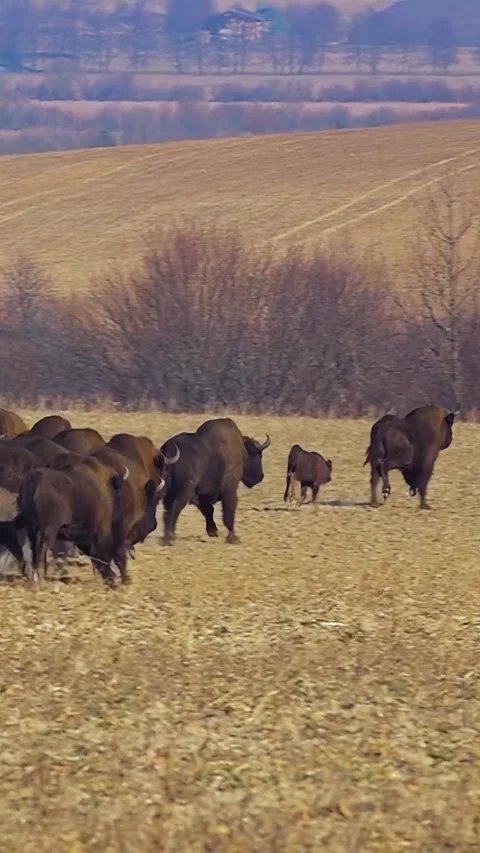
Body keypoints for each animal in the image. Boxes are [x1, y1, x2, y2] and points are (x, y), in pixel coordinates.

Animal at [161, 417, 270, 545]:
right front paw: (233, 538)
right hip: (184, 491)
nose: (260, 476)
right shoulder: (229, 489)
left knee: (167, 510)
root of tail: (169, 451)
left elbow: (208, 510)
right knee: (175, 507)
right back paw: (170, 538)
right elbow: (228, 512)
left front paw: (213, 532)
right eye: (258, 457)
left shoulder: (200, 495)